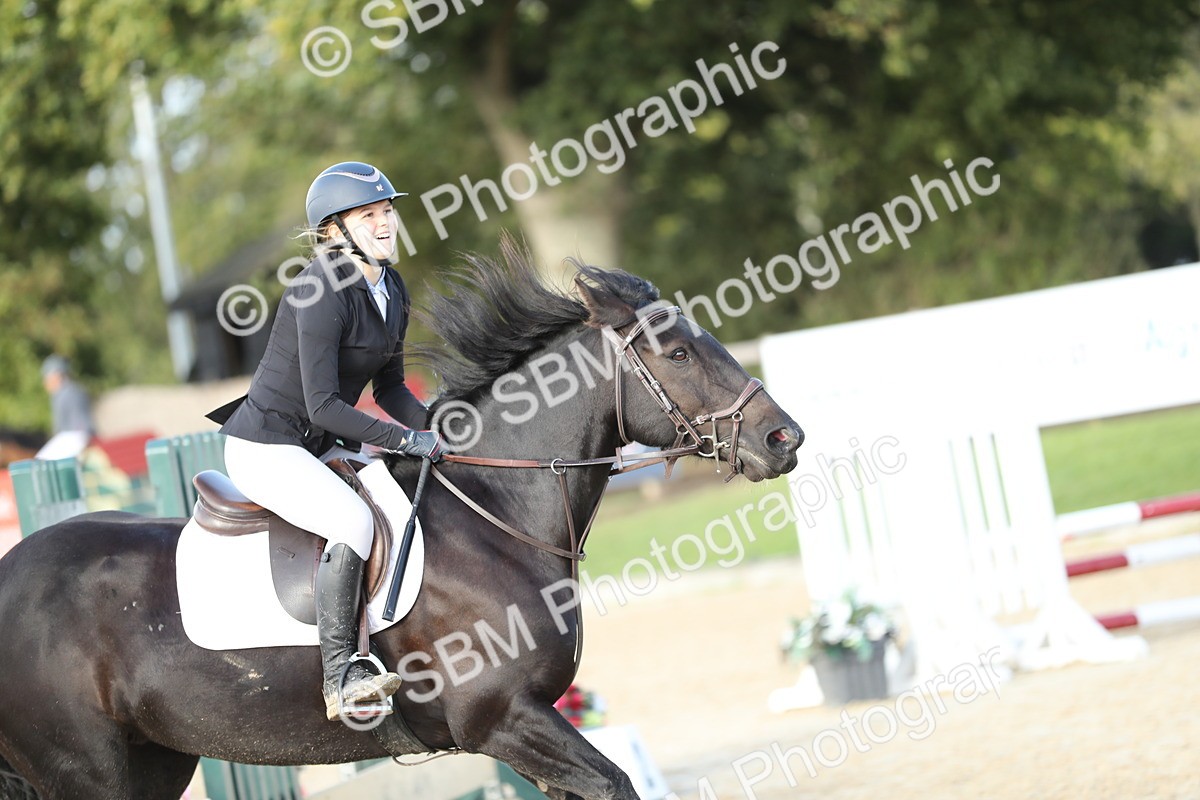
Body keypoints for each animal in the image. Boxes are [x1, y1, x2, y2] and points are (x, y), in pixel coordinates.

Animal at [0, 241, 802, 800]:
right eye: (679, 353)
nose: (783, 438)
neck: (497, 513)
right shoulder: (502, 717)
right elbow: (616, 784)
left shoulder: (526, 723)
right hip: (88, 769)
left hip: (152, 761)